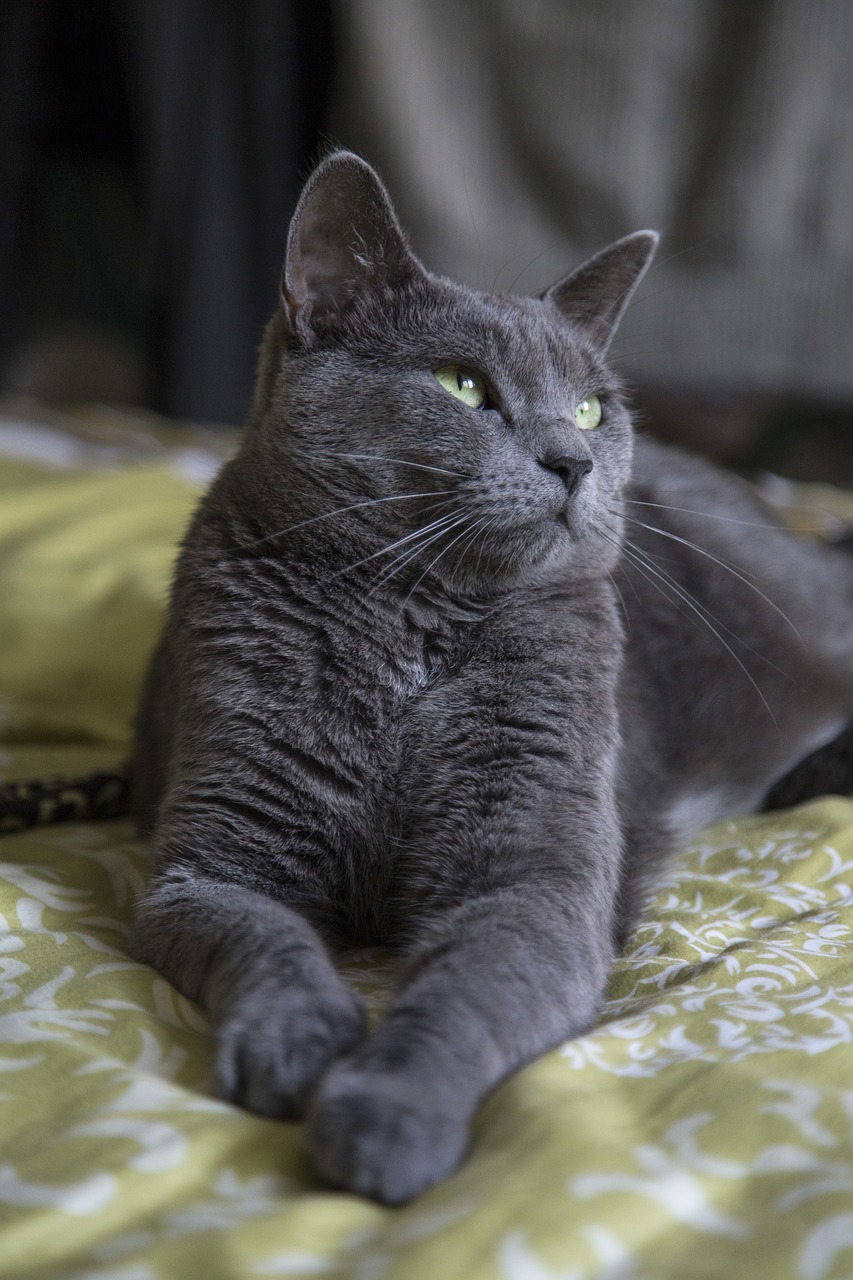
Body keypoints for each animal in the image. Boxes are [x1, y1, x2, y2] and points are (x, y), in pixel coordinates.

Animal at [128, 149, 850, 1198]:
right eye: (462, 385)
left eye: (592, 406)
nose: (573, 457)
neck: (408, 631)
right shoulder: (209, 859)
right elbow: (260, 934)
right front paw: (295, 1040)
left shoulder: (534, 869)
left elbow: (468, 993)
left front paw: (386, 1115)